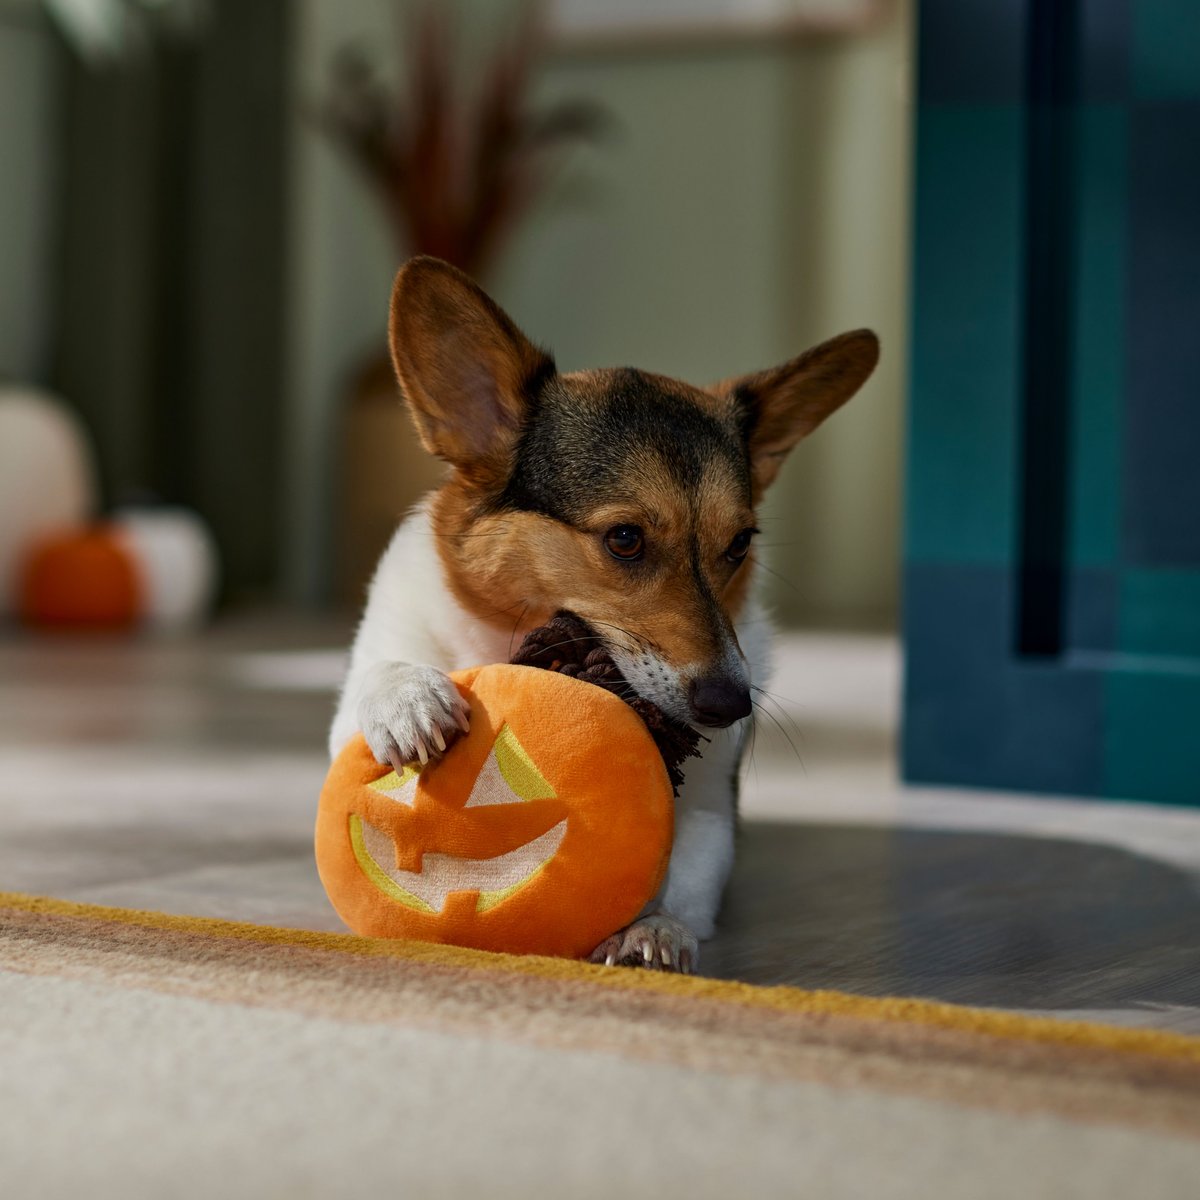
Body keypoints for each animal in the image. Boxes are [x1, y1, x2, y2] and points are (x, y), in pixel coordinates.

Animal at [331, 255, 883, 974]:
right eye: (624, 539)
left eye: (740, 544)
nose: (732, 706)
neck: (506, 638)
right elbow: (381, 680)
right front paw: (408, 700)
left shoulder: (709, 815)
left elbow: (683, 883)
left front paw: (655, 930)